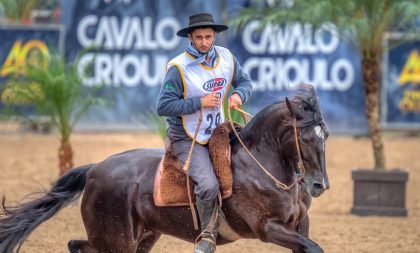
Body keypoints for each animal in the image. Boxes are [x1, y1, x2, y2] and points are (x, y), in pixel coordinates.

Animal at [0, 84, 328, 252]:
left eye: (325, 134)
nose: (319, 185)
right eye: (307, 137)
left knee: (76, 245)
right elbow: (315, 248)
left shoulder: (300, 225)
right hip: (117, 241)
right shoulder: (268, 227)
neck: (262, 166)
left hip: (139, 238)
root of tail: (94, 170)